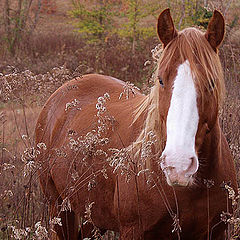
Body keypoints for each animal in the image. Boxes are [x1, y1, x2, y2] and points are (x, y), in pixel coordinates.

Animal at [34, 8, 237, 239]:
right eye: (160, 80)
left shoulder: (217, 230)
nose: (178, 165)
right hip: (59, 208)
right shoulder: (133, 230)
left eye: (211, 83)